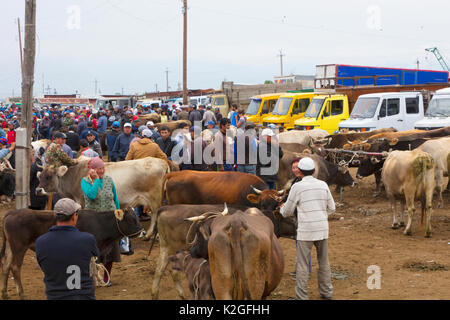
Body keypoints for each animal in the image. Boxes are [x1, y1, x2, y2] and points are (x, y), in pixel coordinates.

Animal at [0, 208, 144, 300]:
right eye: (131, 220)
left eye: (136, 218)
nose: (143, 232)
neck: (100, 223)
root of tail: (12, 212)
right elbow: (91, 268)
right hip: (19, 247)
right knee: (15, 267)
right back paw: (21, 294)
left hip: (11, 248)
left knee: (5, 266)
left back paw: (4, 293)